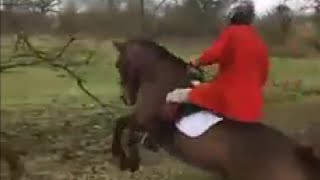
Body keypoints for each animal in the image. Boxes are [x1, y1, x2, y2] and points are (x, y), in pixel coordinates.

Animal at [110, 38, 320, 180]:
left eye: (118, 65)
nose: (126, 98)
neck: (162, 81)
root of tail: (300, 155)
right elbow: (128, 131)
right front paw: (131, 161)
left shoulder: (145, 120)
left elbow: (121, 124)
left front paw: (124, 158)